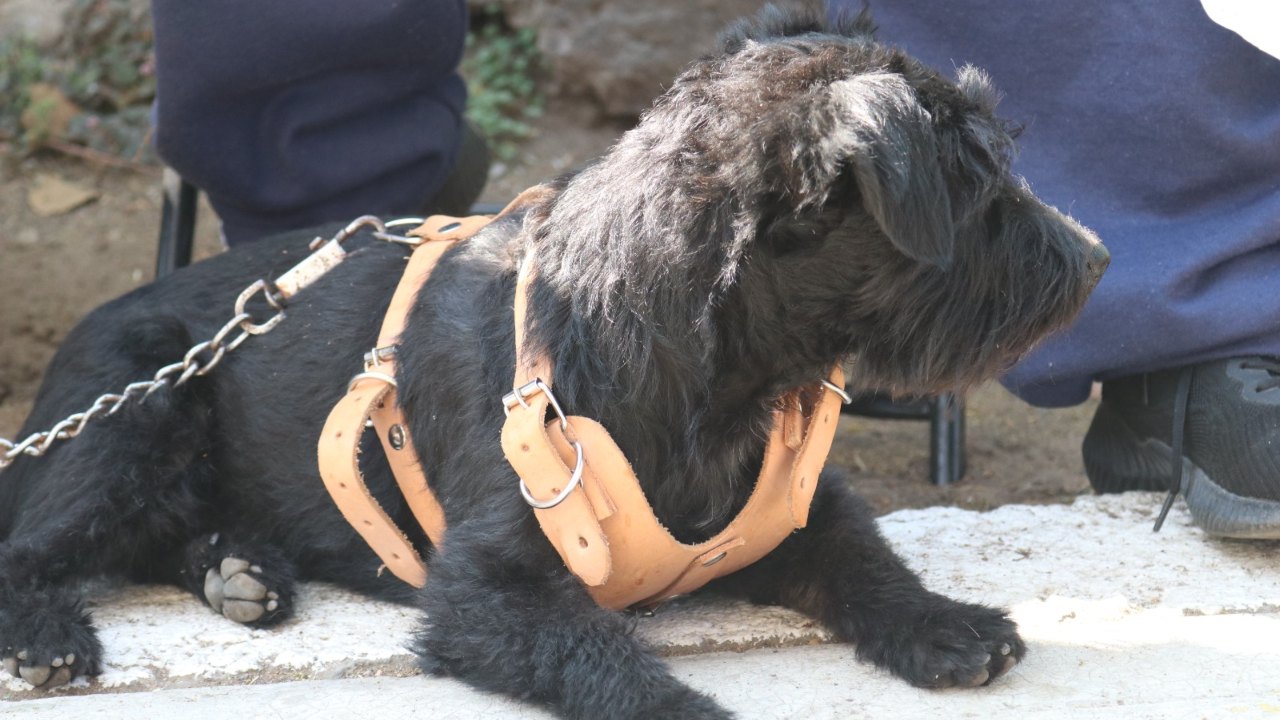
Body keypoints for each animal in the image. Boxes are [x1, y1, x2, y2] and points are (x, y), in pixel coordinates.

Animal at [0, 7, 1105, 717]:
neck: (706, 373)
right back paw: (54, 633)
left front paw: (943, 624)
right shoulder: (491, 594)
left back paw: (239, 570)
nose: (1095, 260)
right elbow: (608, 661)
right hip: (132, 420)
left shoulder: (801, 513)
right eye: (976, 187)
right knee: (34, 549)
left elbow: (863, 561)